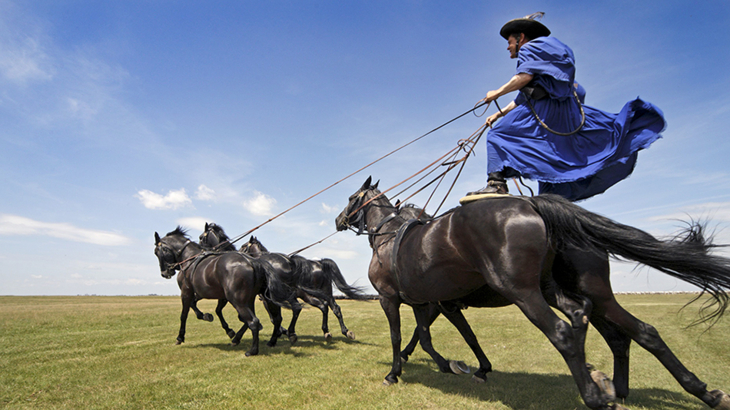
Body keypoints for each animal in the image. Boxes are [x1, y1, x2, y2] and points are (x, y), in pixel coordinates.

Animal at [153, 227, 292, 356]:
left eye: (156, 252)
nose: (165, 273)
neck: (189, 259)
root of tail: (252, 261)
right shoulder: (209, 295)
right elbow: (212, 310)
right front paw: (209, 318)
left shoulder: (186, 292)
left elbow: (184, 315)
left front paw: (180, 337)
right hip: (250, 299)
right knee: (266, 319)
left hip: (238, 300)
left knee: (254, 321)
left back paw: (253, 350)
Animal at [199, 223, 366, 342]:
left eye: (202, 237)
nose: (202, 251)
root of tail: (319, 263)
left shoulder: (265, 299)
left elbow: (273, 317)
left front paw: (279, 332)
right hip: (319, 294)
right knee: (330, 307)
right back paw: (338, 332)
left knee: (304, 308)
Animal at [336, 177, 728, 410]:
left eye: (352, 197)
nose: (339, 220)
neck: (390, 237)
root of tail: (533, 205)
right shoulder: (428, 303)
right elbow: (432, 336)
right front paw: (459, 366)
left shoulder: (400, 300)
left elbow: (405, 335)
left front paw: (399, 371)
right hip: (582, 294)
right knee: (630, 330)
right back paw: (695, 391)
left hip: (525, 292)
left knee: (567, 332)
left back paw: (597, 394)